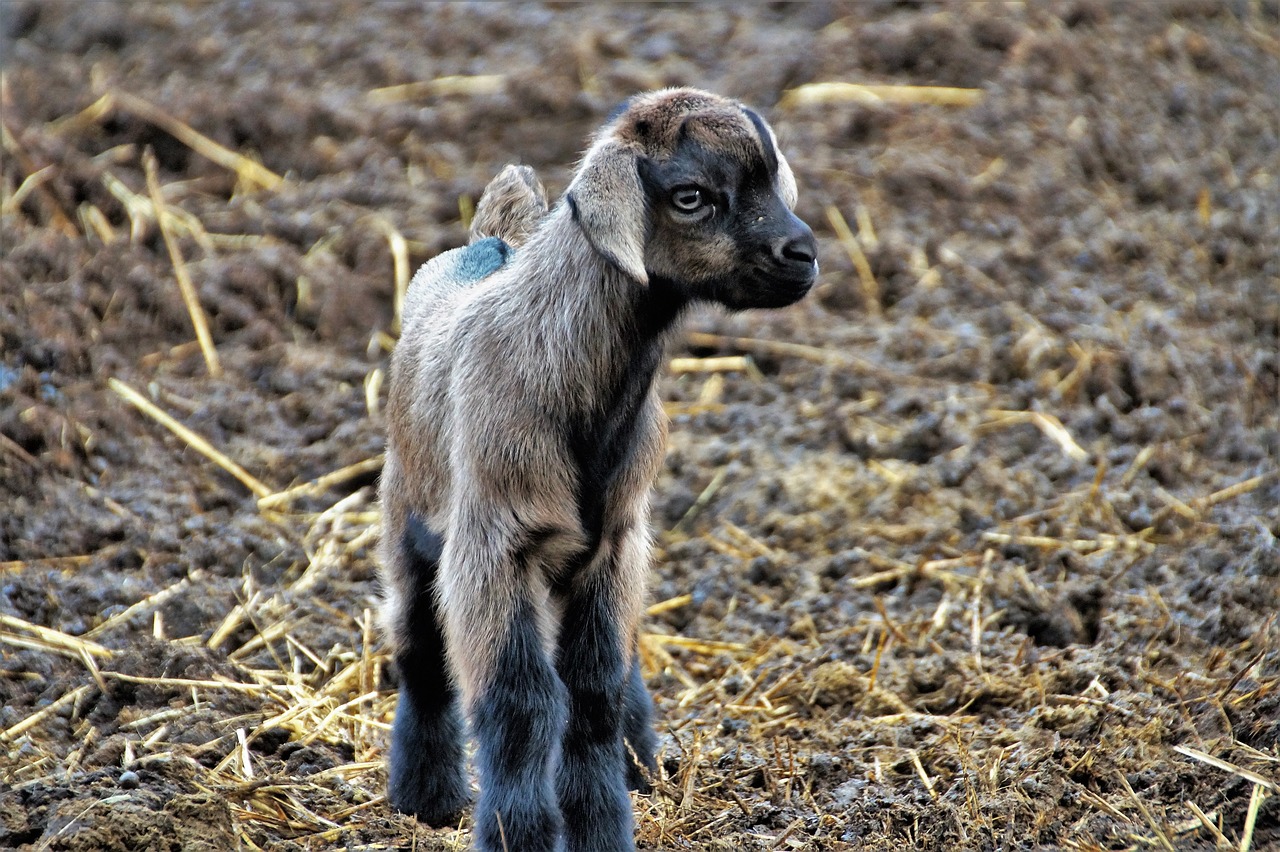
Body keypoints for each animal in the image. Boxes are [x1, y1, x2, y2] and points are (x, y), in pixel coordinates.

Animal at [381, 87, 819, 849]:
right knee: (421, 654)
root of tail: (488, 242)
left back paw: (642, 766)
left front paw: (601, 825)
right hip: (407, 516)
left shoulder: (616, 543)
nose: (804, 253)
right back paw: (424, 799)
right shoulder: (495, 545)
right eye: (690, 195)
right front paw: (521, 833)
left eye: (769, 179)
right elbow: (521, 701)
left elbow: (593, 691)